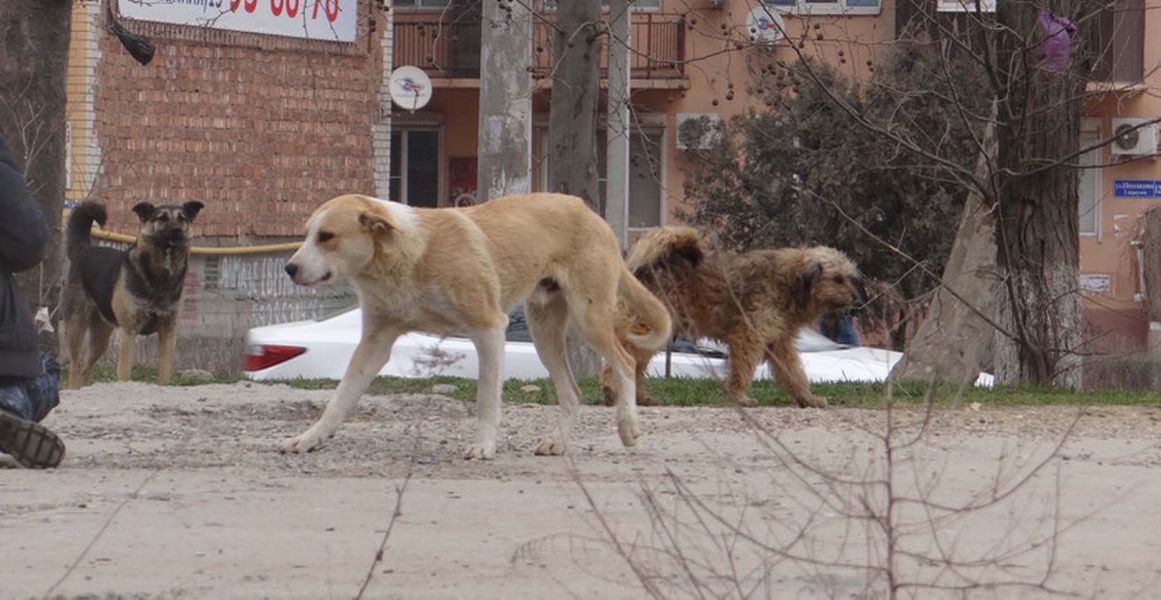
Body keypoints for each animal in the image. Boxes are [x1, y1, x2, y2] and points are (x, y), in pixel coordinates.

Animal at [62, 199, 203, 387]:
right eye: (162, 218)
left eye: (183, 219)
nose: (177, 230)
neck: (161, 274)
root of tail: (83, 249)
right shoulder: (128, 333)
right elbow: (124, 374)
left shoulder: (168, 334)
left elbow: (164, 376)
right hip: (76, 327)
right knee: (75, 366)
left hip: (101, 338)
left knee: (85, 368)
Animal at [279, 191, 673, 459]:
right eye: (307, 233)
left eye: (327, 236)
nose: (289, 268)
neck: (407, 256)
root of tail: (588, 211)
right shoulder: (375, 342)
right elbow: (340, 398)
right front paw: (311, 437)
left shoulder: (488, 329)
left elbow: (486, 398)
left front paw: (483, 445)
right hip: (543, 330)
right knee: (573, 392)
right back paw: (558, 441)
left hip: (587, 318)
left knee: (625, 362)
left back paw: (628, 426)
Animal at [608, 227, 863, 408]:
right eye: (837, 279)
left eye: (849, 277)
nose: (857, 300)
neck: (789, 282)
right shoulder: (749, 335)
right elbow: (743, 369)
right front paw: (740, 397)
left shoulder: (779, 343)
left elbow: (794, 373)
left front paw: (808, 399)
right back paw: (612, 390)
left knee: (636, 365)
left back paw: (640, 398)